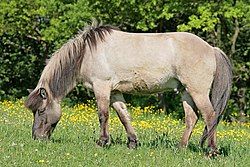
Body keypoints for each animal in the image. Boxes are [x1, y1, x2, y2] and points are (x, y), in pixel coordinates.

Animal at [24, 22, 232, 155]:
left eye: (40, 110)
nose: (36, 137)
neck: (85, 53)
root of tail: (211, 48)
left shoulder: (101, 86)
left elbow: (103, 115)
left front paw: (102, 142)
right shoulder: (115, 91)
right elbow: (123, 116)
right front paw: (132, 143)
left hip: (197, 92)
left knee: (210, 116)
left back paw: (212, 151)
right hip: (186, 92)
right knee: (192, 118)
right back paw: (180, 148)